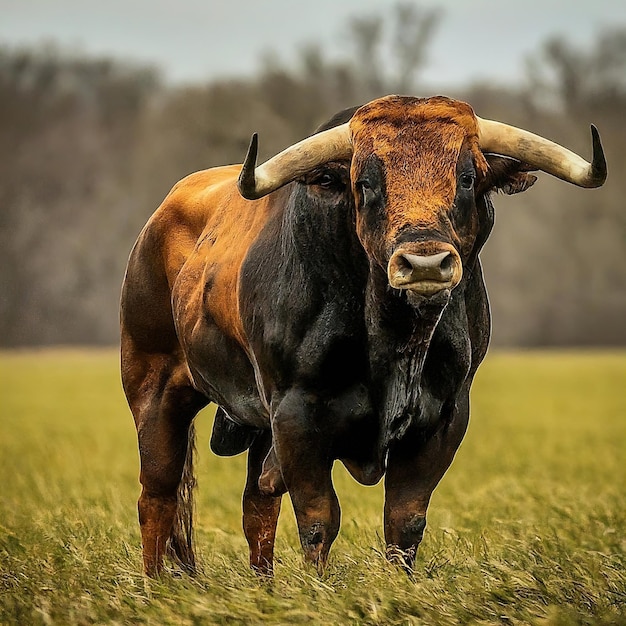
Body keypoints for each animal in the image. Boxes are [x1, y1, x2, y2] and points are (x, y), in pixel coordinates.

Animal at [119, 94, 604, 576]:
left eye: (467, 178)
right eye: (366, 183)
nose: (425, 263)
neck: (397, 342)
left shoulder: (444, 417)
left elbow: (405, 520)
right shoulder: (296, 414)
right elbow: (319, 518)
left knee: (257, 505)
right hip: (154, 390)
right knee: (157, 496)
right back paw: (155, 584)